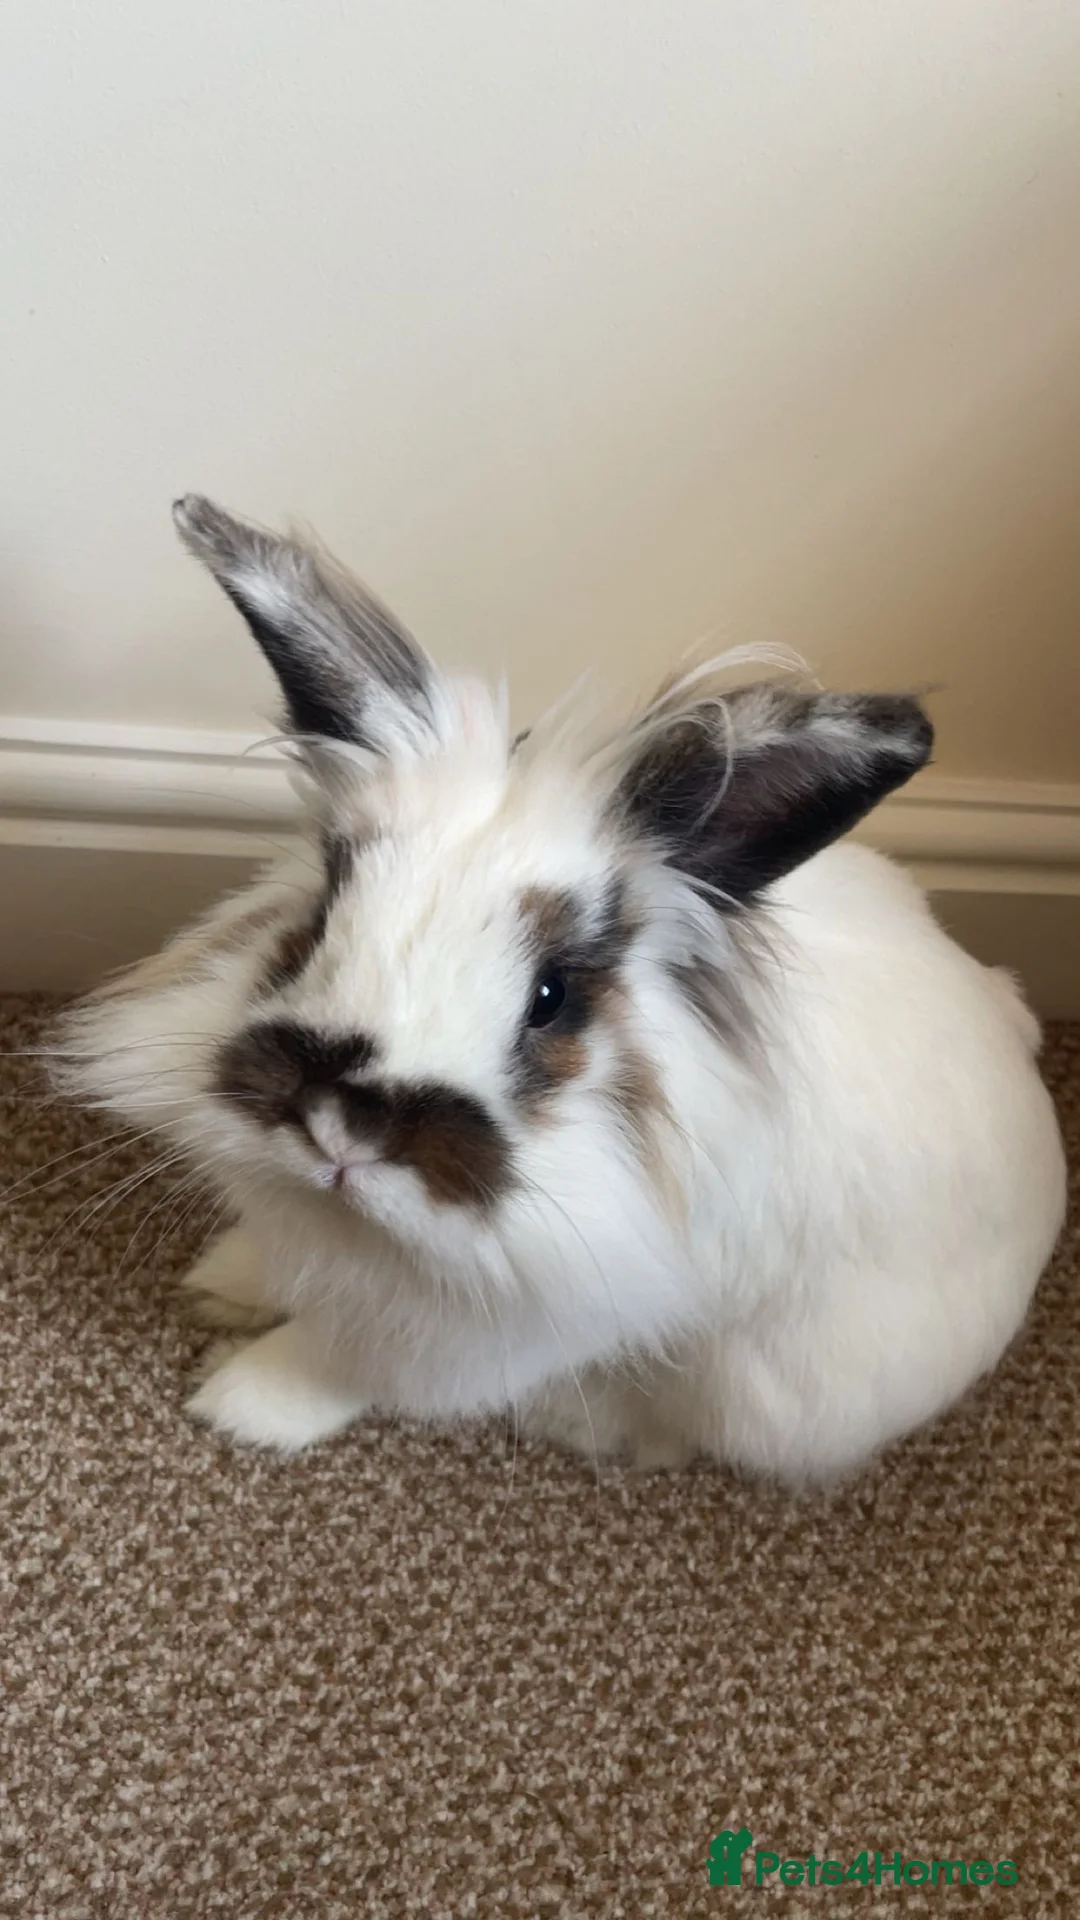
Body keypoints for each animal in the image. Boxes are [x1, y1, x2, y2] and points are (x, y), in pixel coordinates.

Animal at [53, 495, 1067, 1483]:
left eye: (553, 998)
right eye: (319, 916)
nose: (340, 1129)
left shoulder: (507, 1324)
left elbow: (350, 1363)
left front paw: (242, 1402)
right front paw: (229, 1278)